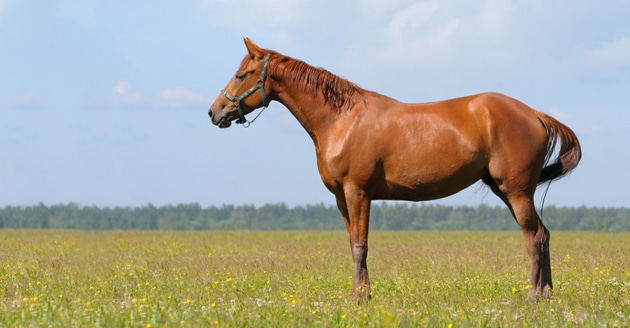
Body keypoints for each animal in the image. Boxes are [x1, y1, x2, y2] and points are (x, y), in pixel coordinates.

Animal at [210, 38, 584, 302]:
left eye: (242, 74)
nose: (215, 112)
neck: (343, 120)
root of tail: (534, 114)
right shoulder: (341, 199)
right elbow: (352, 244)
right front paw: (363, 294)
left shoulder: (358, 192)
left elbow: (361, 245)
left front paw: (360, 299)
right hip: (506, 190)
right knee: (544, 234)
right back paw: (547, 295)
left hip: (516, 191)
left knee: (533, 238)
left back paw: (532, 297)